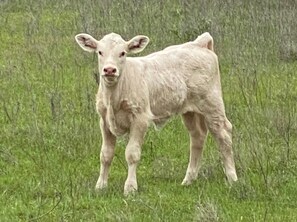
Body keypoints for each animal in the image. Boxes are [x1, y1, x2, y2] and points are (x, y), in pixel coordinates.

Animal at [75, 32, 237, 195]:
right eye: (100, 52)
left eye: (123, 53)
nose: (109, 70)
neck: (114, 96)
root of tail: (199, 44)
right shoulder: (104, 121)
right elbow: (106, 154)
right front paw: (100, 186)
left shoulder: (140, 119)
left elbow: (132, 154)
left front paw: (130, 188)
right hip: (190, 110)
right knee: (198, 136)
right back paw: (188, 180)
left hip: (212, 104)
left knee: (223, 135)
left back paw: (232, 179)